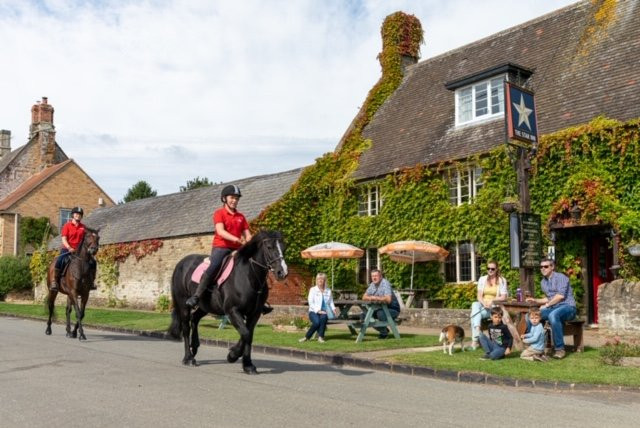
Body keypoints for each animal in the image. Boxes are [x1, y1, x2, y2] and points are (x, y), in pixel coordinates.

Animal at [170, 229, 290, 372]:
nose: (282, 272)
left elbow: (249, 335)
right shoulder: (232, 311)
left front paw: (248, 365)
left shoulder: (254, 314)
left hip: (206, 306)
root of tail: (181, 263)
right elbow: (245, 333)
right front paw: (233, 355)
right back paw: (188, 358)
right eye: (269, 247)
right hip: (184, 305)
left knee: (195, 319)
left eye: (284, 247)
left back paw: (194, 347)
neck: (248, 277)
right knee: (186, 327)